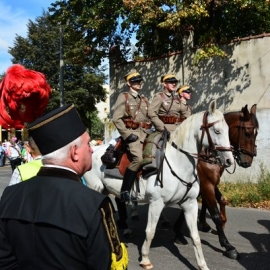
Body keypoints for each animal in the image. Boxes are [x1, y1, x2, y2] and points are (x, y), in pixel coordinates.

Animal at [85, 101, 234, 270]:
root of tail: (94, 150)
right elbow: (150, 231)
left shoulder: (190, 204)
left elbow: (195, 237)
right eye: (217, 131)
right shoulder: (156, 203)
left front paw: (203, 265)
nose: (229, 160)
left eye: (228, 130)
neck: (177, 162)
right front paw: (145, 259)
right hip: (95, 189)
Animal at [173, 103, 260, 260]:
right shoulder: (206, 183)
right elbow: (215, 214)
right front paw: (227, 245)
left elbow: (221, 200)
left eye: (256, 134)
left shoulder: (210, 183)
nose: (248, 162)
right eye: (247, 132)